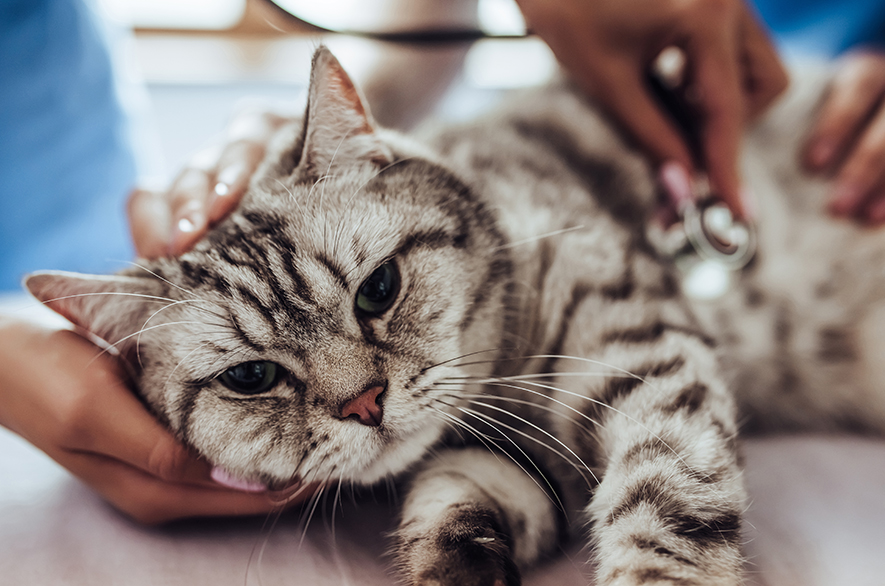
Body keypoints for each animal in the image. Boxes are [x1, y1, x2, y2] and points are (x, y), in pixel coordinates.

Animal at [22, 45, 884, 584]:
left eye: (378, 289)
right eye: (253, 377)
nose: (365, 404)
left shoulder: (647, 362)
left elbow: (662, 507)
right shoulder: (507, 465)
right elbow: (448, 510)